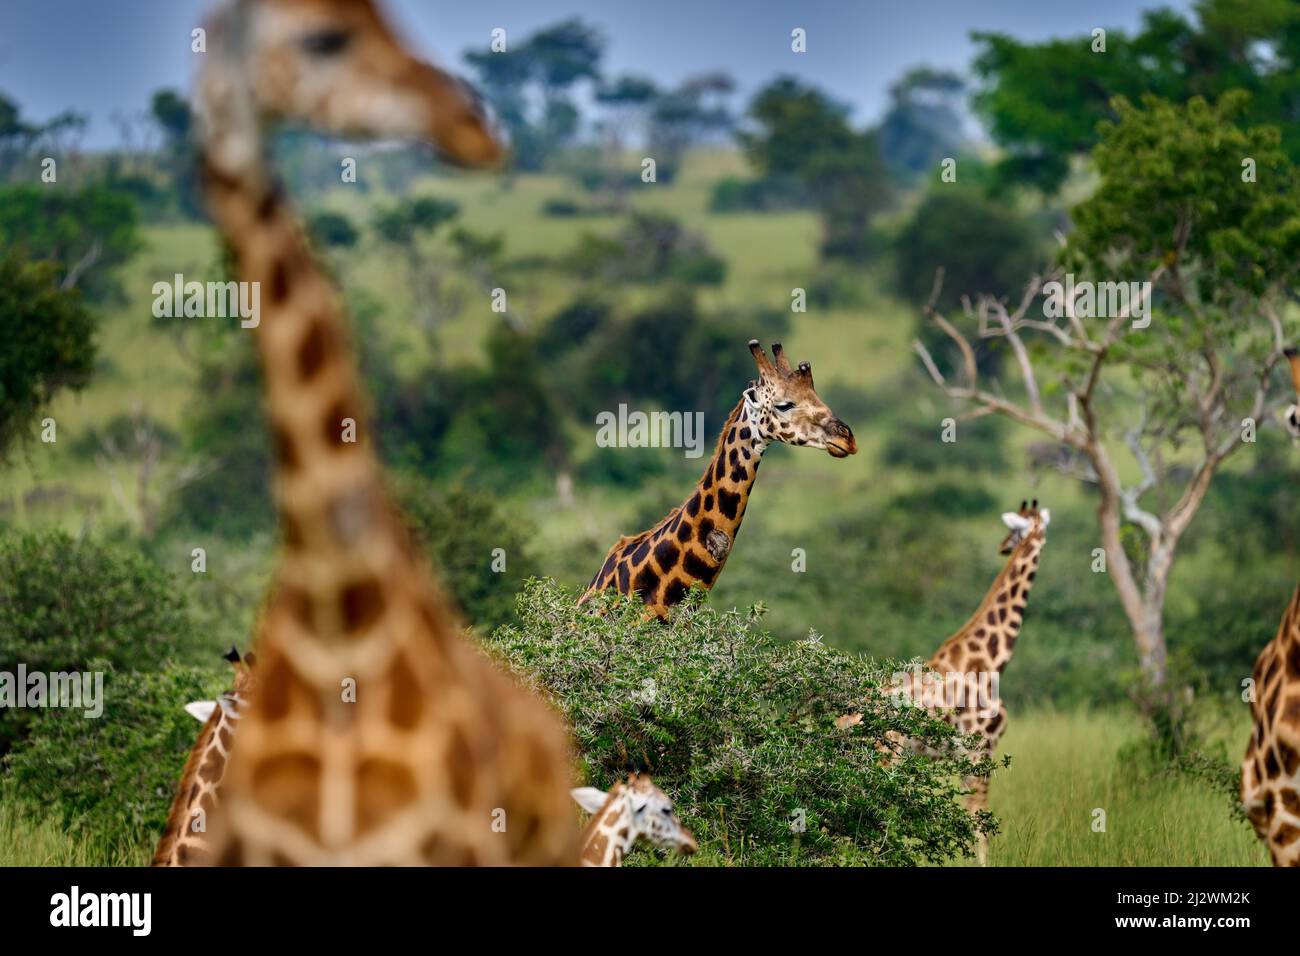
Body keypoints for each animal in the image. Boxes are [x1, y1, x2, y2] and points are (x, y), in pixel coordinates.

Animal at [837, 500, 1050, 865]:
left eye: (1012, 533)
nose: (1003, 546)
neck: (990, 661)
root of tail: (839, 721)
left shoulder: (967, 759)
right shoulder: (982, 749)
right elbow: (980, 824)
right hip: (883, 757)